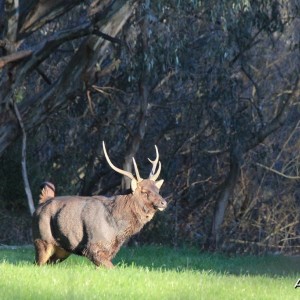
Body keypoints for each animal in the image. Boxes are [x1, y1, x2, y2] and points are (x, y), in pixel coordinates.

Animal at [32, 142, 166, 268]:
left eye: (157, 190)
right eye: (144, 191)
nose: (163, 202)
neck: (117, 228)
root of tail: (43, 201)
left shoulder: (109, 250)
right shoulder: (93, 246)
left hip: (62, 250)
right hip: (42, 239)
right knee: (37, 264)